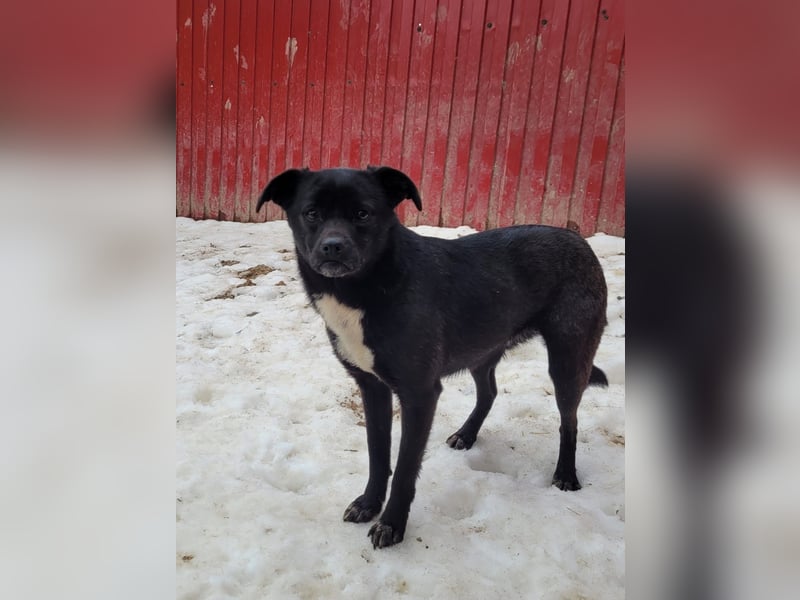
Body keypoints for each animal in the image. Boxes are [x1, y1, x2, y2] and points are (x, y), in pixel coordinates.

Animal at [257, 166, 608, 549]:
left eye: (363, 213)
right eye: (312, 213)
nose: (333, 246)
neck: (367, 288)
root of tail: (579, 239)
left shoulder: (420, 395)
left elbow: (405, 467)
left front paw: (391, 524)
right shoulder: (372, 388)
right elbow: (377, 454)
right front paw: (368, 504)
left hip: (568, 358)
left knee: (569, 420)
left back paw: (566, 474)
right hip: (482, 350)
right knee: (489, 392)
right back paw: (467, 435)